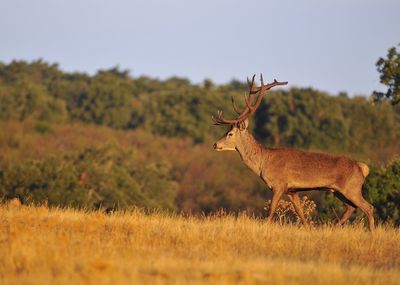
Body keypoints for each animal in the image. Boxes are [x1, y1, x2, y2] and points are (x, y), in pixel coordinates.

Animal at [212, 74, 376, 230]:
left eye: (230, 134)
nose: (215, 144)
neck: (263, 162)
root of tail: (362, 167)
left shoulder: (279, 184)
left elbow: (271, 211)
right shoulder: (292, 191)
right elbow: (300, 212)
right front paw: (309, 229)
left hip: (352, 188)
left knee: (368, 207)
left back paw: (371, 233)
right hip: (337, 190)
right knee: (351, 207)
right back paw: (335, 227)